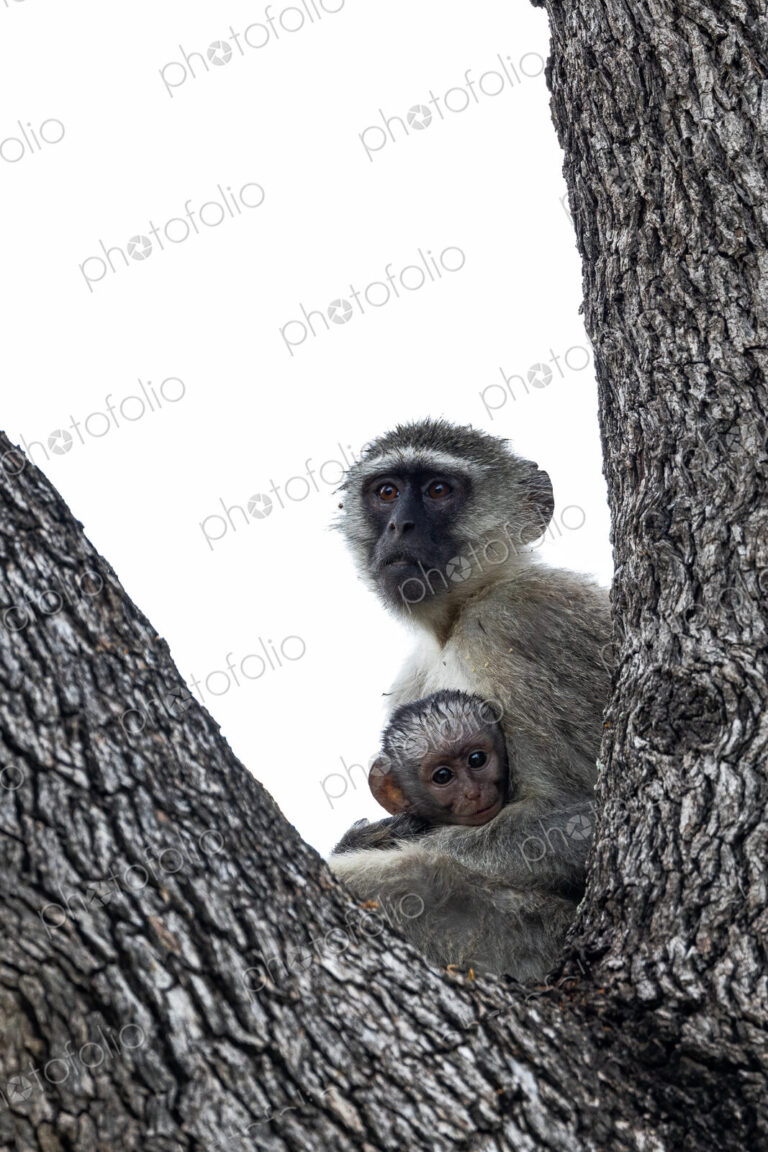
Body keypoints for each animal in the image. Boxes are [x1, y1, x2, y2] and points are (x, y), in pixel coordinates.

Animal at [328, 419, 611, 977]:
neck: (457, 615)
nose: (400, 528)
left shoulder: (516, 622)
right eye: (386, 492)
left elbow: (586, 815)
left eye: (439, 490)